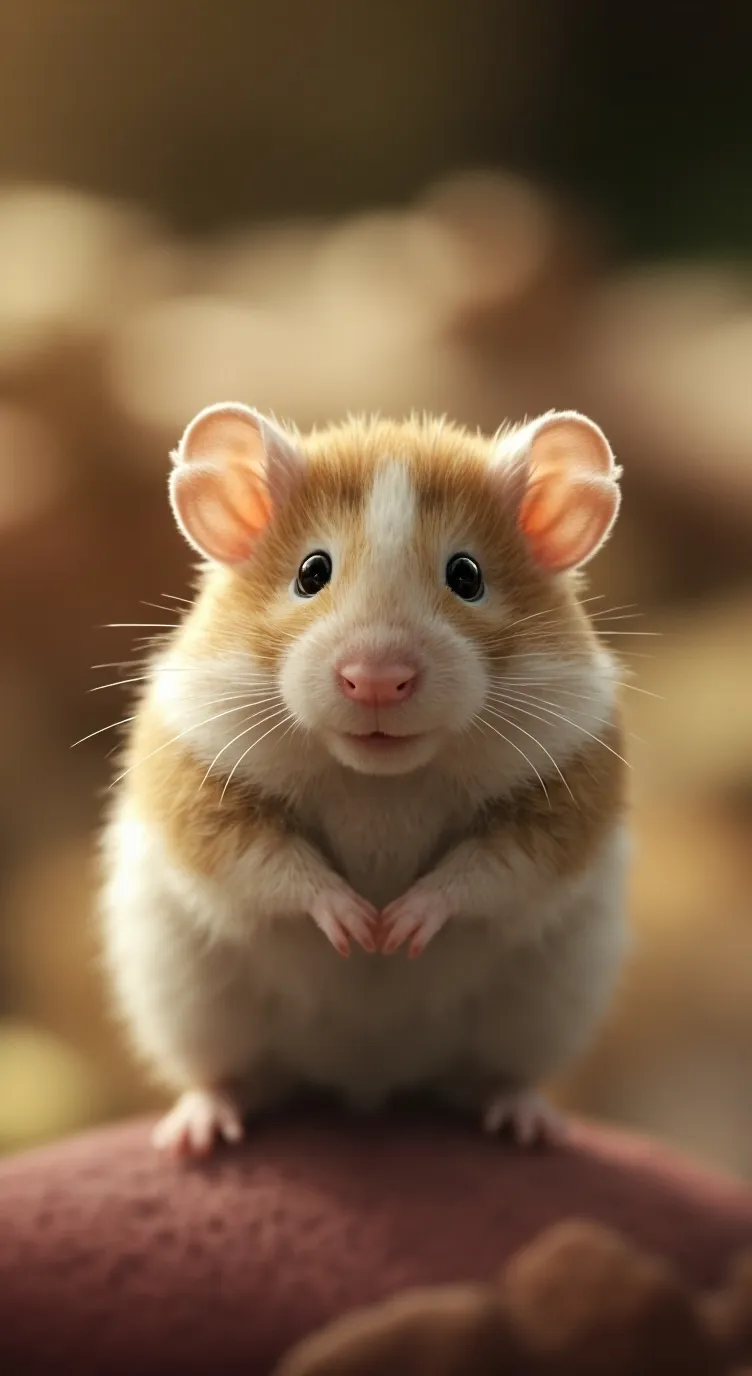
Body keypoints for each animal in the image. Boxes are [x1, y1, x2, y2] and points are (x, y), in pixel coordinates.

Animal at [99, 403, 629, 1156]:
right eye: (311, 572)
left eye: (466, 575)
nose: (377, 679)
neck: (382, 778)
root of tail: (366, 1080)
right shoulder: (203, 787)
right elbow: (275, 864)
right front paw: (360, 929)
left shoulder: (561, 795)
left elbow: (483, 871)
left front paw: (396, 930)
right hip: (195, 1006)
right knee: (235, 1077)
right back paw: (198, 1134)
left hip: (538, 1010)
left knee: (492, 1077)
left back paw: (527, 1125)